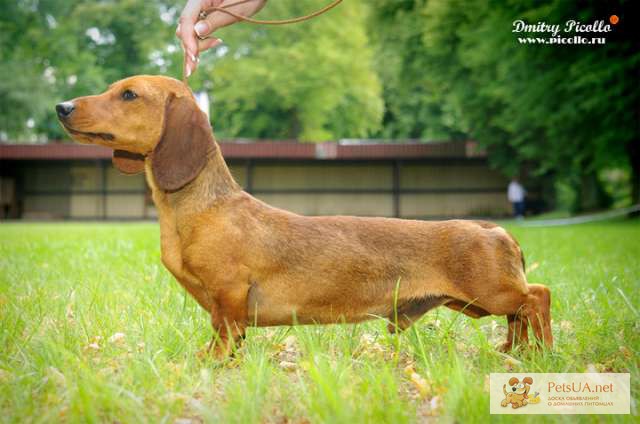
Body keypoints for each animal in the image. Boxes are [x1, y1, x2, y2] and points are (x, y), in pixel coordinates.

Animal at [55, 76, 552, 358]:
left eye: (129, 94)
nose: (62, 107)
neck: (202, 207)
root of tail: (495, 229)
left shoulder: (229, 294)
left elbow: (224, 334)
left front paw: (211, 363)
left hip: (491, 293)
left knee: (537, 297)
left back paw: (541, 350)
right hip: (478, 303)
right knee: (521, 314)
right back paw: (515, 351)